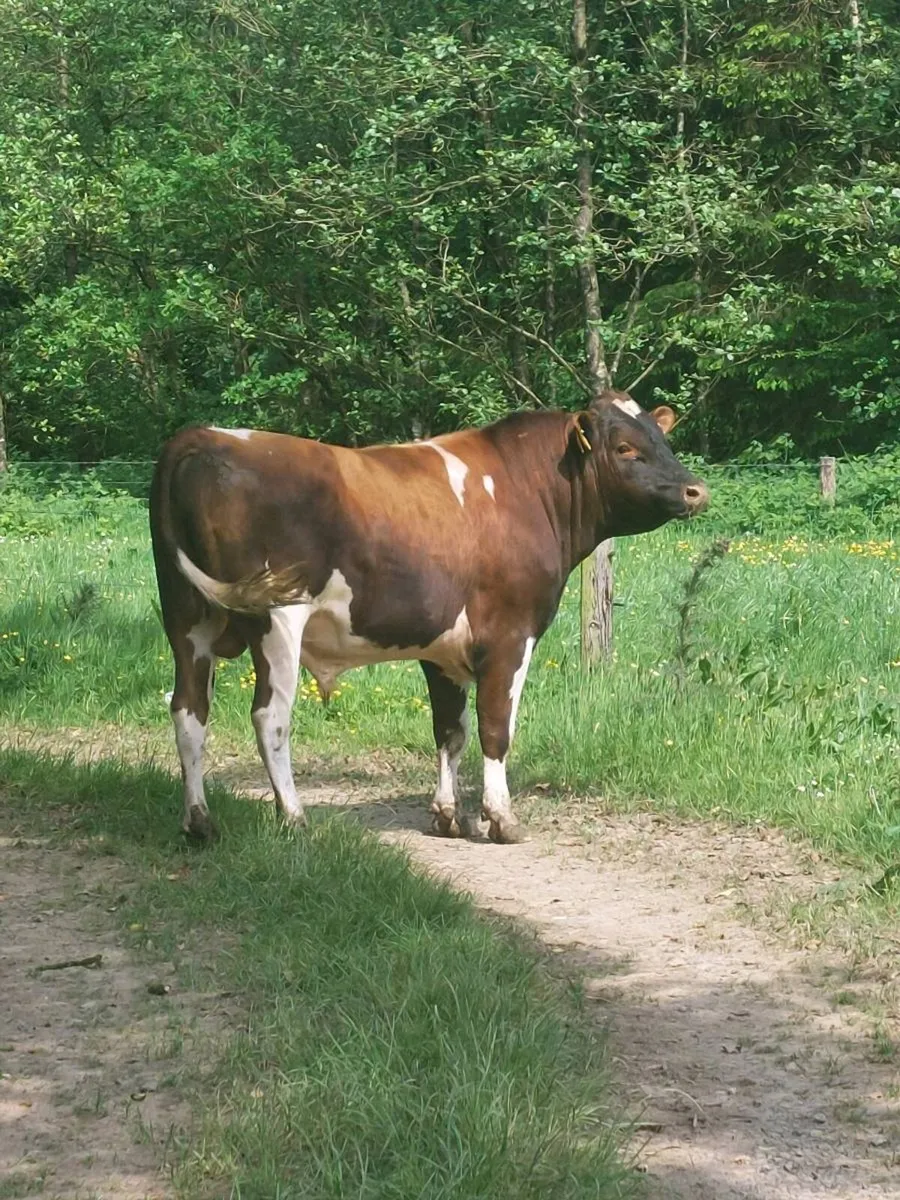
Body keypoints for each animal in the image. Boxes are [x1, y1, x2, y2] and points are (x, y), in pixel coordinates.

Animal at [149, 390, 708, 845]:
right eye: (625, 448)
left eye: (661, 437)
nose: (695, 490)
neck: (526, 487)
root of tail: (202, 436)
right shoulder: (510, 635)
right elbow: (496, 727)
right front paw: (501, 818)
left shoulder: (443, 649)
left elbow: (450, 730)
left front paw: (446, 815)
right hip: (276, 617)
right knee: (270, 717)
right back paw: (294, 816)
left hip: (188, 620)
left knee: (189, 711)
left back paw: (198, 821)